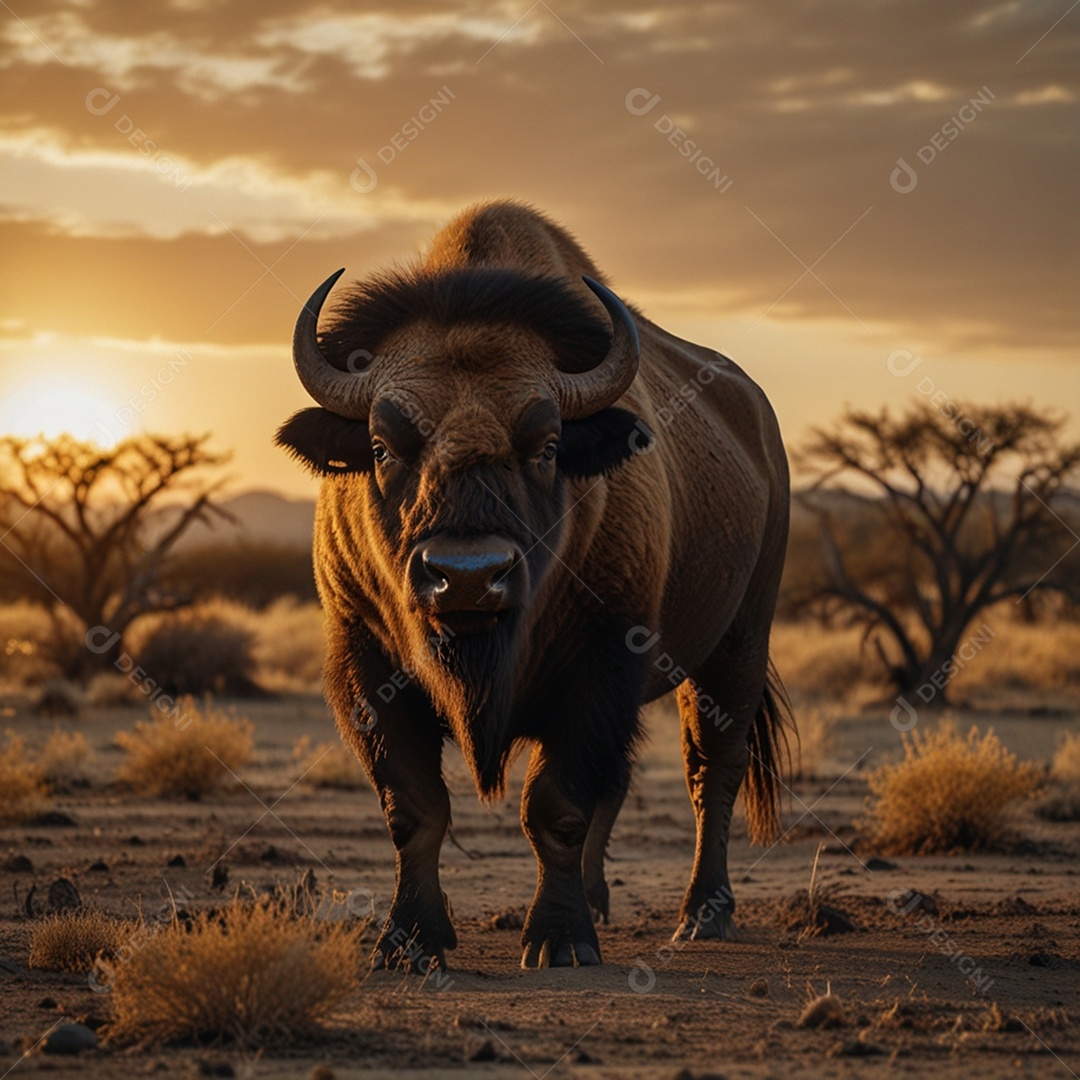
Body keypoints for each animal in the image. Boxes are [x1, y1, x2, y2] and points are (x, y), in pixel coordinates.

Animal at [277, 200, 793, 971]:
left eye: (548, 445)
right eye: (381, 445)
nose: (467, 578)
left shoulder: (599, 665)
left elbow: (556, 808)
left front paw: (560, 938)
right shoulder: (367, 663)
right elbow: (414, 808)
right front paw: (410, 941)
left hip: (734, 650)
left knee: (713, 772)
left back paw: (703, 914)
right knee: (628, 780)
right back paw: (605, 899)